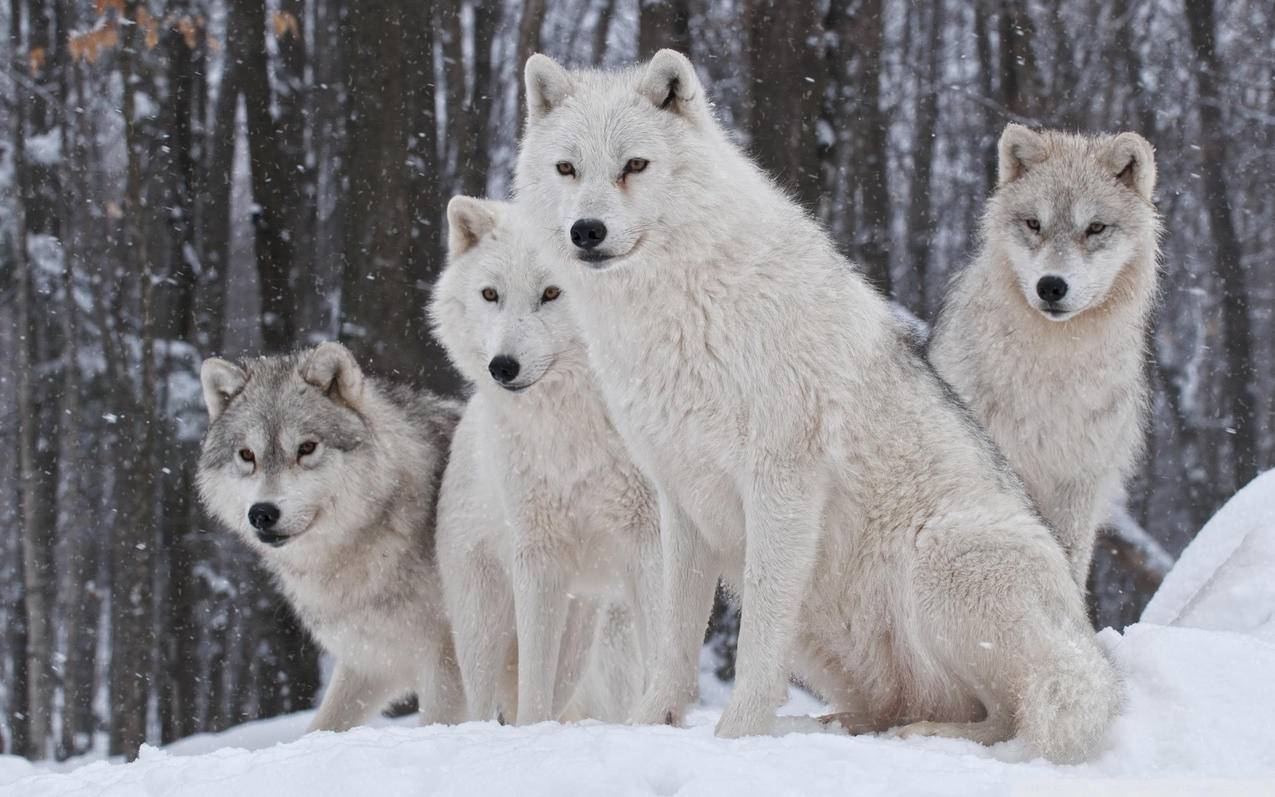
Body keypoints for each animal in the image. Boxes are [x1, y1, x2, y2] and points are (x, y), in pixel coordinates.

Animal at [193, 341, 464, 734]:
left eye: (306, 448)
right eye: (247, 455)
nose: (262, 513)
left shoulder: (447, 660)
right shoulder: (370, 661)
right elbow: (323, 726)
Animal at [430, 196, 663, 724]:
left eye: (554, 292)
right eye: (490, 294)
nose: (502, 367)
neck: (574, 429)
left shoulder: (651, 543)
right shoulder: (537, 557)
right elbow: (533, 684)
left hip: (586, 631)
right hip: (485, 623)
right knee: (484, 703)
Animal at [512, 51, 1122, 765]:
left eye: (634, 165)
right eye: (567, 169)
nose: (587, 231)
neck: (680, 309)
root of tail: (1089, 648)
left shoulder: (782, 483)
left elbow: (756, 641)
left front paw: (737, 738)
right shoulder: (680, 497)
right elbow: (672, 640)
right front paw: (649, 726)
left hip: (942, 555)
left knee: (1008, 713)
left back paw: (924, 737)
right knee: (900, 706)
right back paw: (834, 728)